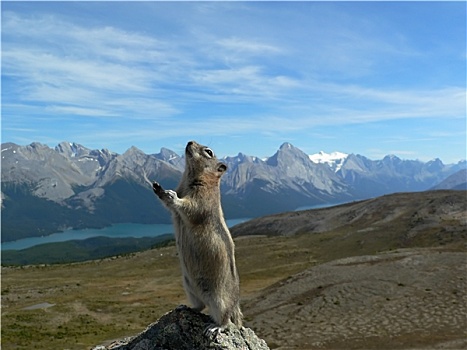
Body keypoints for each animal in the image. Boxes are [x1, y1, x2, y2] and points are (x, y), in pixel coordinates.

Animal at [153, 140, 243, 334]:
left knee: (225, 318)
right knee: (200, 306)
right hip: (189, 287)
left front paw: (172, 196)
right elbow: (170, 207)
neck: (190, 178)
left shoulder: (202, 199)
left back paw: (216, 327)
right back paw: (185, 307)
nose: (189, 141)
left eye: (208, 151)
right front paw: (158, 188)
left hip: (219, 299)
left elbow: (190, 208)